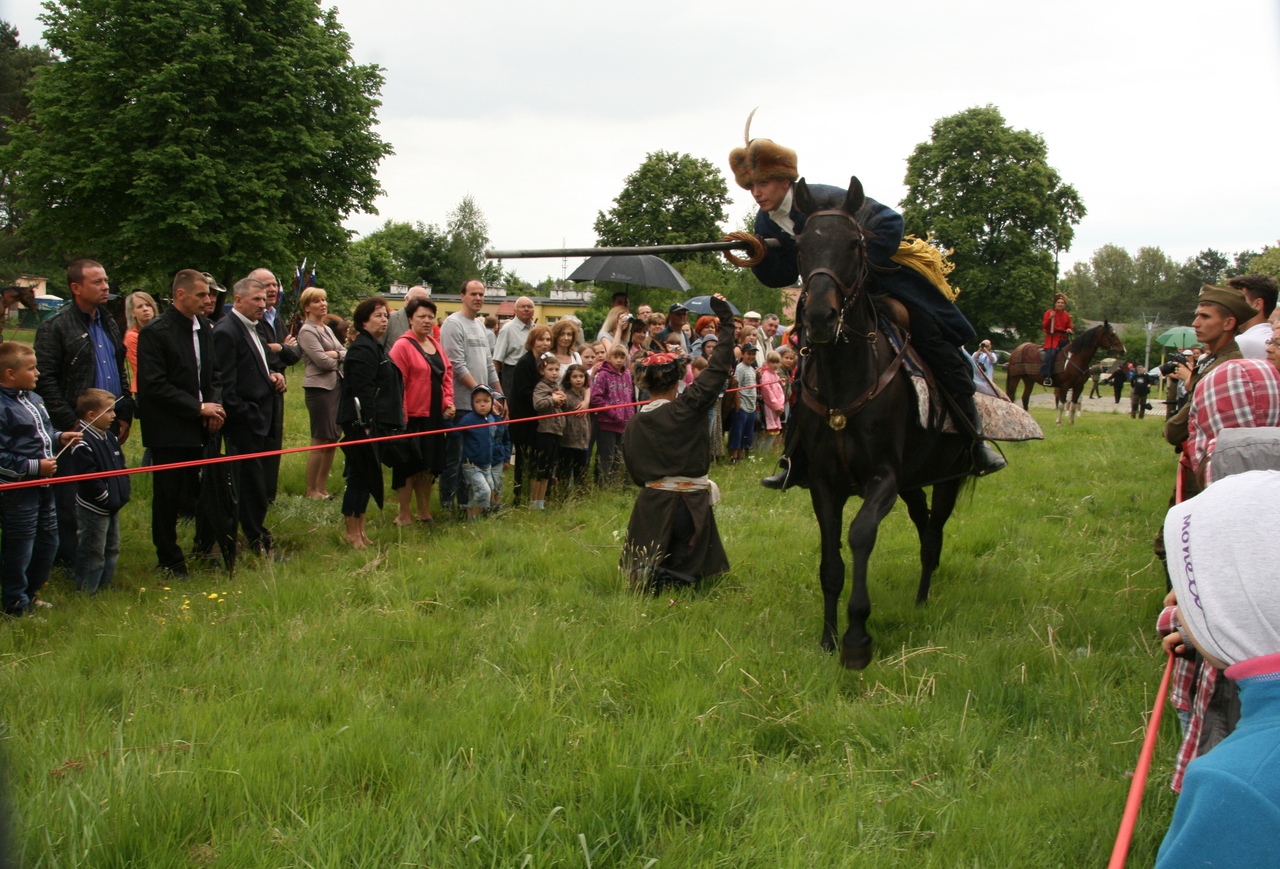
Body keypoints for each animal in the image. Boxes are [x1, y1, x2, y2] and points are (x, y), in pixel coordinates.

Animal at [788, 180, 967, 670]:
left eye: (854, 243)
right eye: (801, 247)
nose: (819, 318)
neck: (845, 382)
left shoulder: (883, 477)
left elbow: (861, 534)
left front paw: (857, 637)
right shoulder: (824, 484)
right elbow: (831, 562)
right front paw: (828, 638)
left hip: (948, 477)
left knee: (934, 532)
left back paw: (923, 598)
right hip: (913, 483)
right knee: (925, 525)